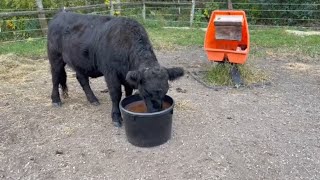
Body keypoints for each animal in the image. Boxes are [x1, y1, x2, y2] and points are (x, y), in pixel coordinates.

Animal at [46, 11, 184, 126]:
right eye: (146, 91)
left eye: (165, 91)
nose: (155, 111)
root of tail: (60, 14)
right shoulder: (110, 73)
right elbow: (116, 94)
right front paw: (116, 117)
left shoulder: (127, 75)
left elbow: (128, 92)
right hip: (55, 57)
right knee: (55, 78)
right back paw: (56, 100)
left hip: (80, 62)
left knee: (82, 79)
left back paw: (93, 99)